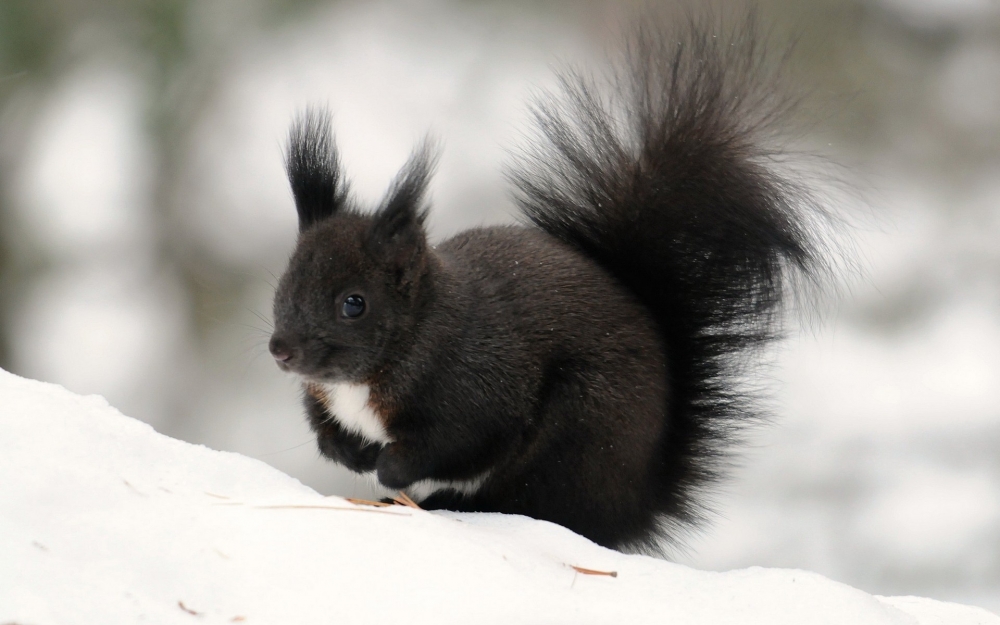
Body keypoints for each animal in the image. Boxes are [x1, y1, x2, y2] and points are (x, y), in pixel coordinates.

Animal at [268, 14, 828, 552]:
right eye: (284, 285)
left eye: (354, 303)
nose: (281, 351)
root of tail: (638, 503)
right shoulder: (325, 399)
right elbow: (326, 431)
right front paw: (351, 453)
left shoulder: (479, 389)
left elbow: (455, 445)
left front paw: (388, 467)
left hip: (576, 434)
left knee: (536, 504)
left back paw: (450, 502)